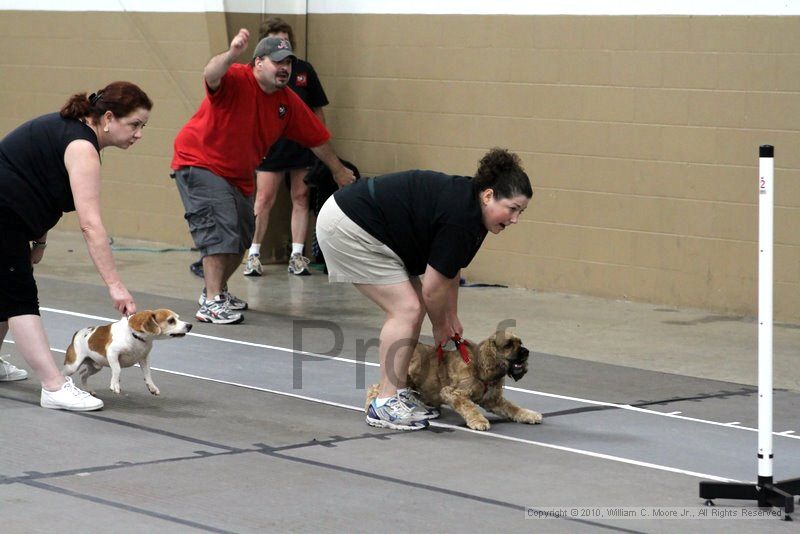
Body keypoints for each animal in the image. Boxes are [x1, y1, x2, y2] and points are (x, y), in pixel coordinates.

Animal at [64, 312, 192, 396]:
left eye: (178, 318)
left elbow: (148, 373)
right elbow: (117, 369)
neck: (135, 336)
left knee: (83, 374)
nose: (190, 325)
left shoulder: (144, 358)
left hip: (96, 367)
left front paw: (151, 386)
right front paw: (115, 384)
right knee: (65, 373)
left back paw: (89, 390)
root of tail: (77, 333)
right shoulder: (112, 353)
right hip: (72, 366)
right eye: (171, 320)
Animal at [364, 330, 540, 432]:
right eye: (509, 345)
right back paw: (369, 406)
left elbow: (513, 408)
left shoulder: (493, 400)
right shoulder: (453, 393)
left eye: (521, 343)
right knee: (375, 388)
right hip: (405, 376)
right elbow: (469, 407)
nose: (526, 352)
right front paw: (478, 421)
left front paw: (529, 415)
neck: (481, 366)